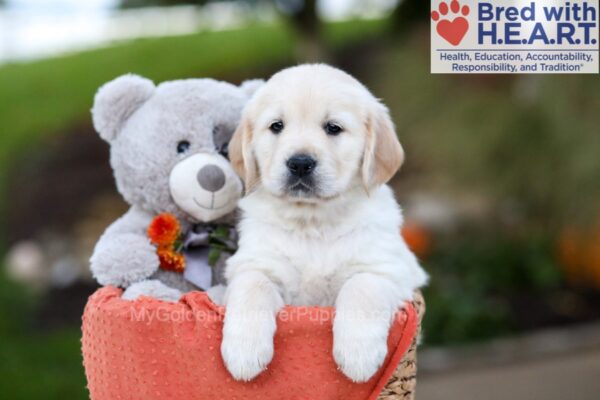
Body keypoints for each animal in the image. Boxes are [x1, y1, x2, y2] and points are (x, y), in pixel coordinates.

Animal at [220, 65, 426, 382]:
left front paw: (358, 354)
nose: (300, 163)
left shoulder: (388, 270)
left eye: (333, 128)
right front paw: (244, 352)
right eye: (276, 126)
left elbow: (361, 287)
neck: (313, 222)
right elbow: (251, 287)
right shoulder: (253, 264)